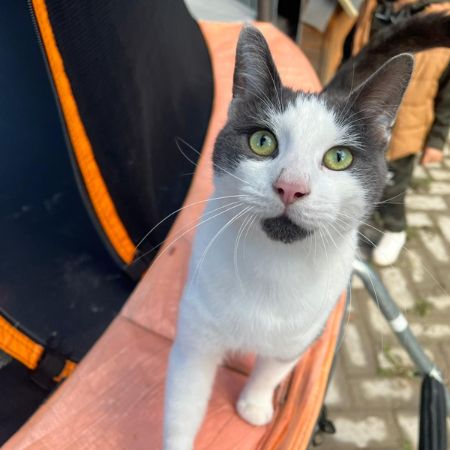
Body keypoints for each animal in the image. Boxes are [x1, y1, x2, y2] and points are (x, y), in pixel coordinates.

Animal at [163, 13, 450, 450]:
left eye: (339, 157)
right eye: (262, 141)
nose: (291, 187)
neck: (275, 267)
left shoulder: (304, 333)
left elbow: (273, 369)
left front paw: (255, 403)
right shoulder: (197, 337)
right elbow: (185, 400)